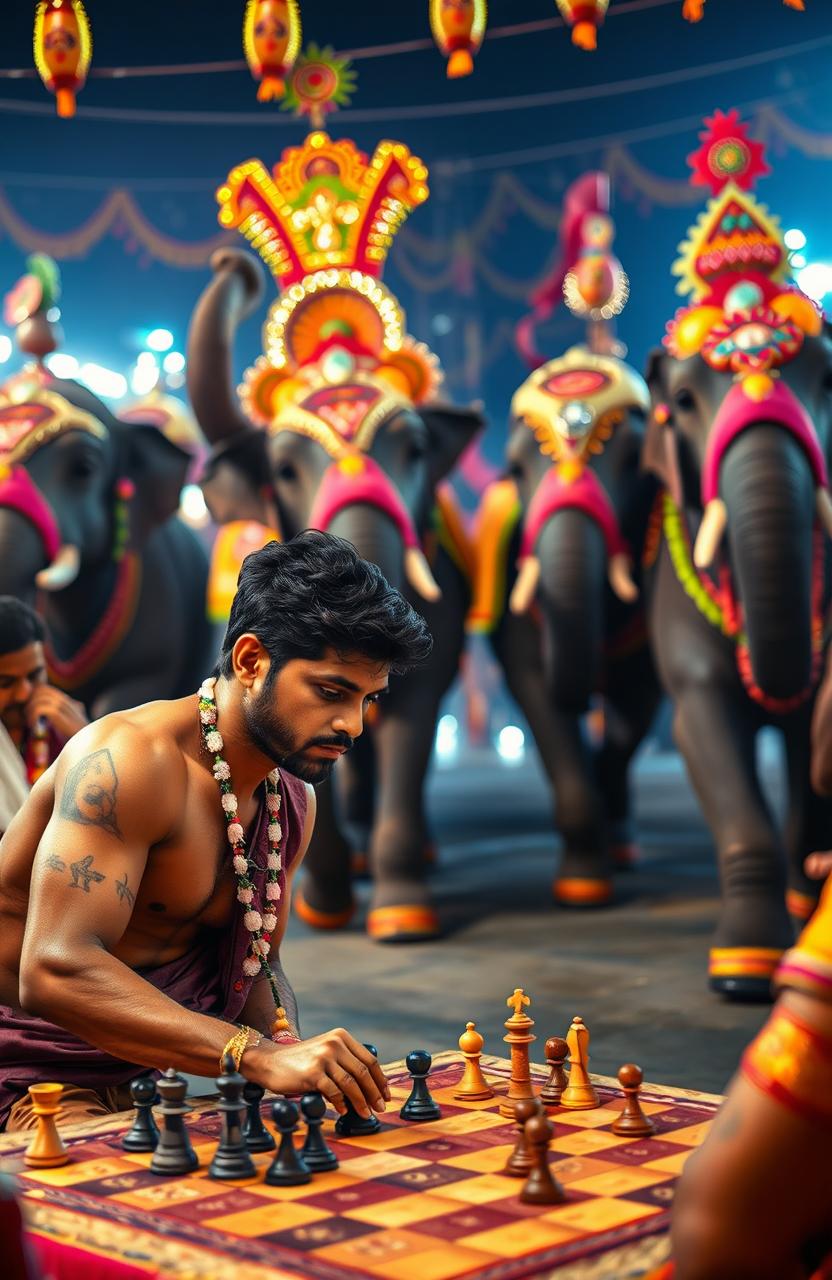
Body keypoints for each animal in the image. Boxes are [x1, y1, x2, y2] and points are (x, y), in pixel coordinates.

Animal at [184, 135, 483, 947]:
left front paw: (403, 917)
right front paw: (323, 902)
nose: (229, 261)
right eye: (286, 468)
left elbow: (414, 715)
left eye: (415, 450)